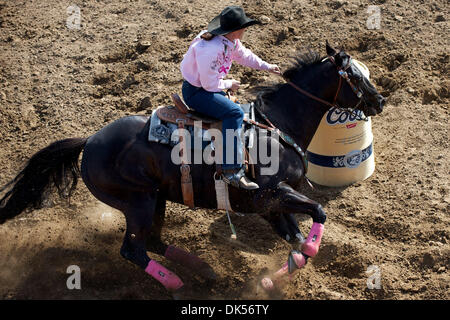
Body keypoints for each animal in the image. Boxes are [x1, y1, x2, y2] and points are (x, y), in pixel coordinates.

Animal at [0, 43, 386, 296]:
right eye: (354, 75)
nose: (380, 101)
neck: (275, 126)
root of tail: (91, 140)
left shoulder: (271, 205)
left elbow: (298, 245)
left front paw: (271, 280)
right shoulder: (272, 194)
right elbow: (316, 216)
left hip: (155, 200)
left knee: (153, 241)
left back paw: (205, 270)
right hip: (137, 203)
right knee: (133, 250)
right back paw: (177, 283)